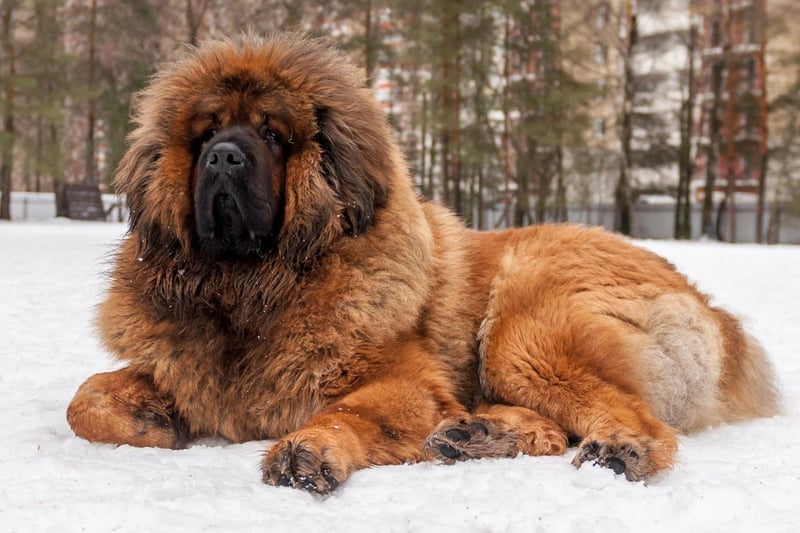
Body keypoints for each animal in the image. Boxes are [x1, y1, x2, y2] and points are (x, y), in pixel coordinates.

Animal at [65, 32, 780, 490]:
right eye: (208, 133)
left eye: (272, 134)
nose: (223, 157)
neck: (254, 290)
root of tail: (717, 315)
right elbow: (84, 399)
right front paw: (151, 418)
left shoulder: (404, 383)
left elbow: (345, 411)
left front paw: (307, 449)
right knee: (553, 429)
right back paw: (480, 435)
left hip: (525, 332)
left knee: (639, 422)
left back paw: (615, 449)